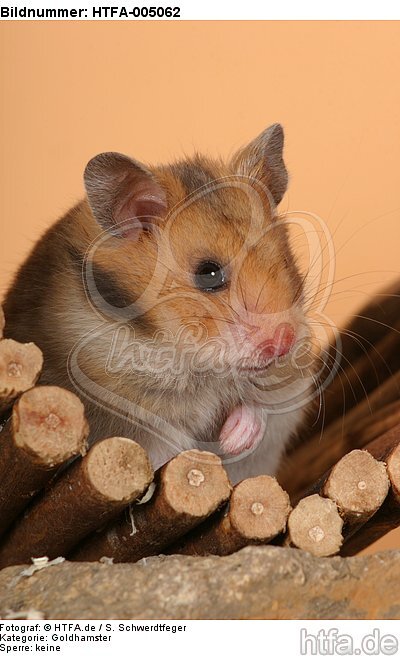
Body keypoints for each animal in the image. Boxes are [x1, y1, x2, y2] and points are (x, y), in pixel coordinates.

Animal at [3, 123, 313, 483]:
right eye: (208, 273)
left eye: (286, 260)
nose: (283, 343)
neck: (191, 361)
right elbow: (159, 445)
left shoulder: (291, 382)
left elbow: (260, 405)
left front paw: (233, 439)